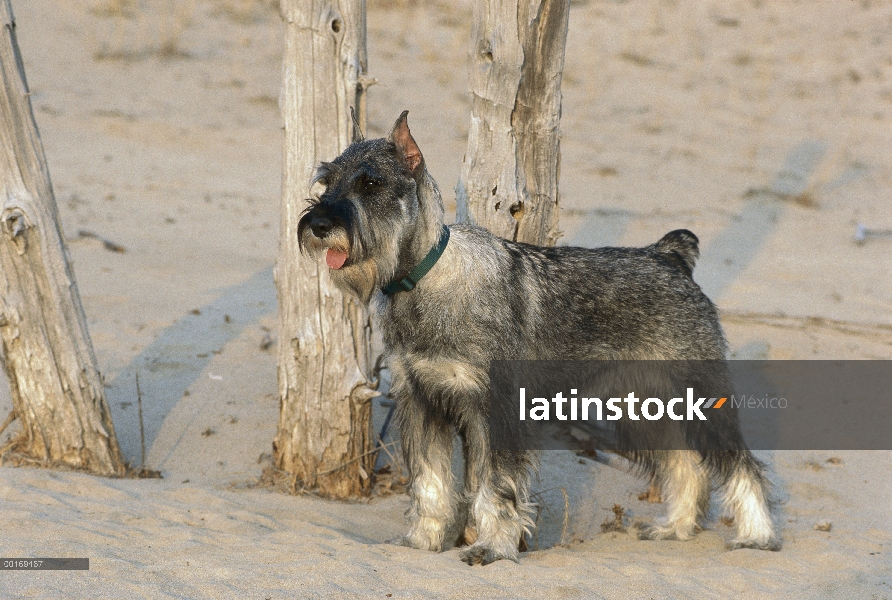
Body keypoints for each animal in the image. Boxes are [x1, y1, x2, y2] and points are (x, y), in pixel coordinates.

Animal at [296, 110, 776, 564]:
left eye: (371, 183)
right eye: (327, 180)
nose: (317, 224)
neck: (423, 279)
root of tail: (671, 257)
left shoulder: (497, 409)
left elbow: (495, 487)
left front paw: (492, 548)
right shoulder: (422, 402)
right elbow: (431, 484)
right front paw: (421, 542)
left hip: (697, 396)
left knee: (740, 464)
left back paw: (757, 536)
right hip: (643, 406)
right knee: (685, 465)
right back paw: (675, 528)